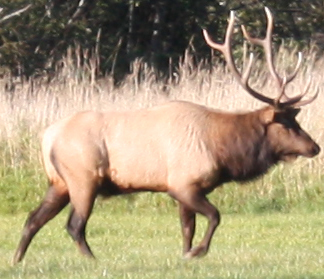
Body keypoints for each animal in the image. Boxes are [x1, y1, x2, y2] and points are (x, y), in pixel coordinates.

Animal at [13, 7, 318, 264]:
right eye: (286, 123)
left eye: (296, 119)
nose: (314, 147)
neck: (222, 150)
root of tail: (47, 138)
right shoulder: (183, 183)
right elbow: (215, 216)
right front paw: (197, 252)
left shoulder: (187, 188)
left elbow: (187, 227)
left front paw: (185, 254)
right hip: (83, 177)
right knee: (74, 225)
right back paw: (92, 260)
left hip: (58, 182)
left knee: (33, 218)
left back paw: (17, 259)